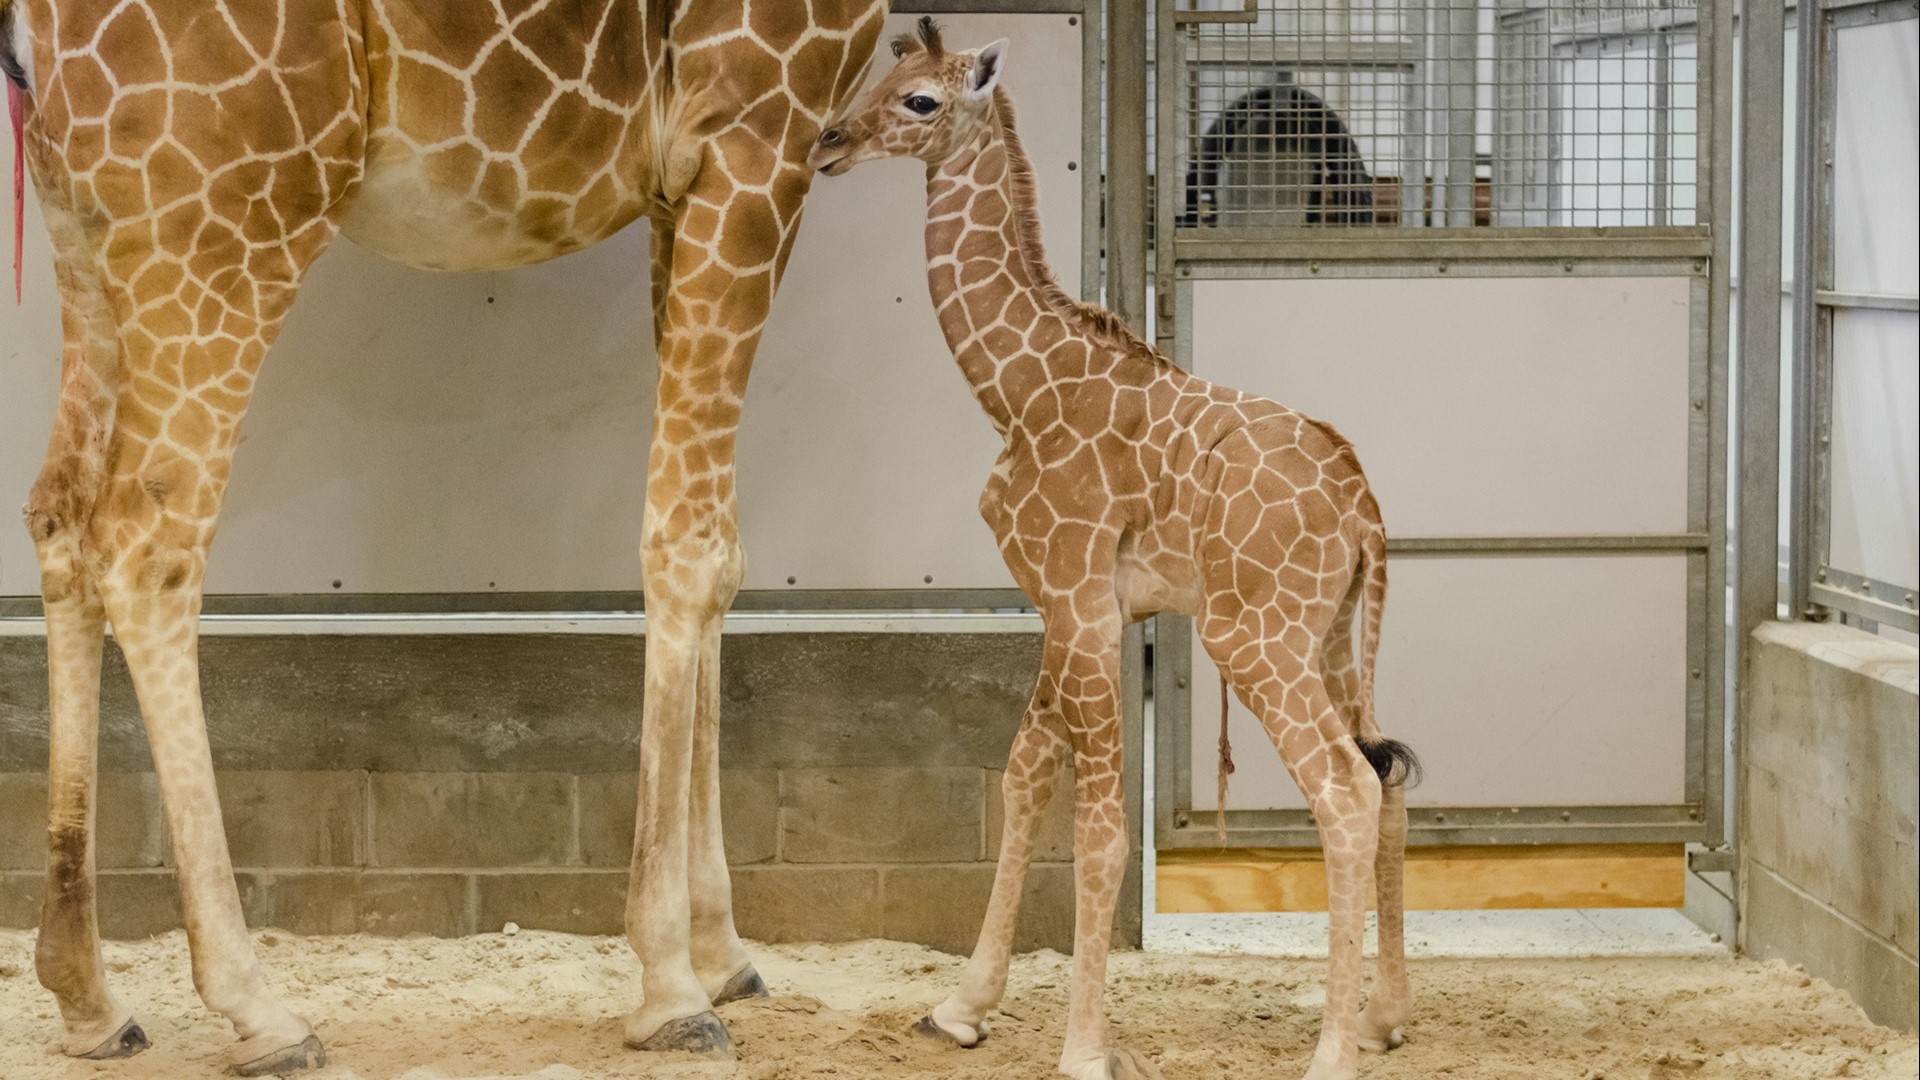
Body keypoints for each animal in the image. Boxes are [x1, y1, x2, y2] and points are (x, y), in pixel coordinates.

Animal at [1, 0, 886, 1072]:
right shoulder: (758, 123)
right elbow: (688, 544)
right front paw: (672, 986)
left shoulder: (680, 181)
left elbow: (725, 547)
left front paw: (723, 953)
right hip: (228, 209)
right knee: (144, 542)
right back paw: (261, 1010)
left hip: (83, 224)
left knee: (61, 516)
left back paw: (89, 996)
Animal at [810, 21, 1422, 1080]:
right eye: (882, 74)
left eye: (921, 99)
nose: (828, 141)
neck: (1014, 389)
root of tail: (1363, 505)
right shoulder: (1064, 603)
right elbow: (1023, 775)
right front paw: (961, 1007)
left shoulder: (1081, 599)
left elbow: (1100, 829)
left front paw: (1086, 1049)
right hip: (1335, 633)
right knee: (1388, 782)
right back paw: (1381, 1020)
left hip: (1254, 637)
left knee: (1344, 791)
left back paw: (1332, 1054)